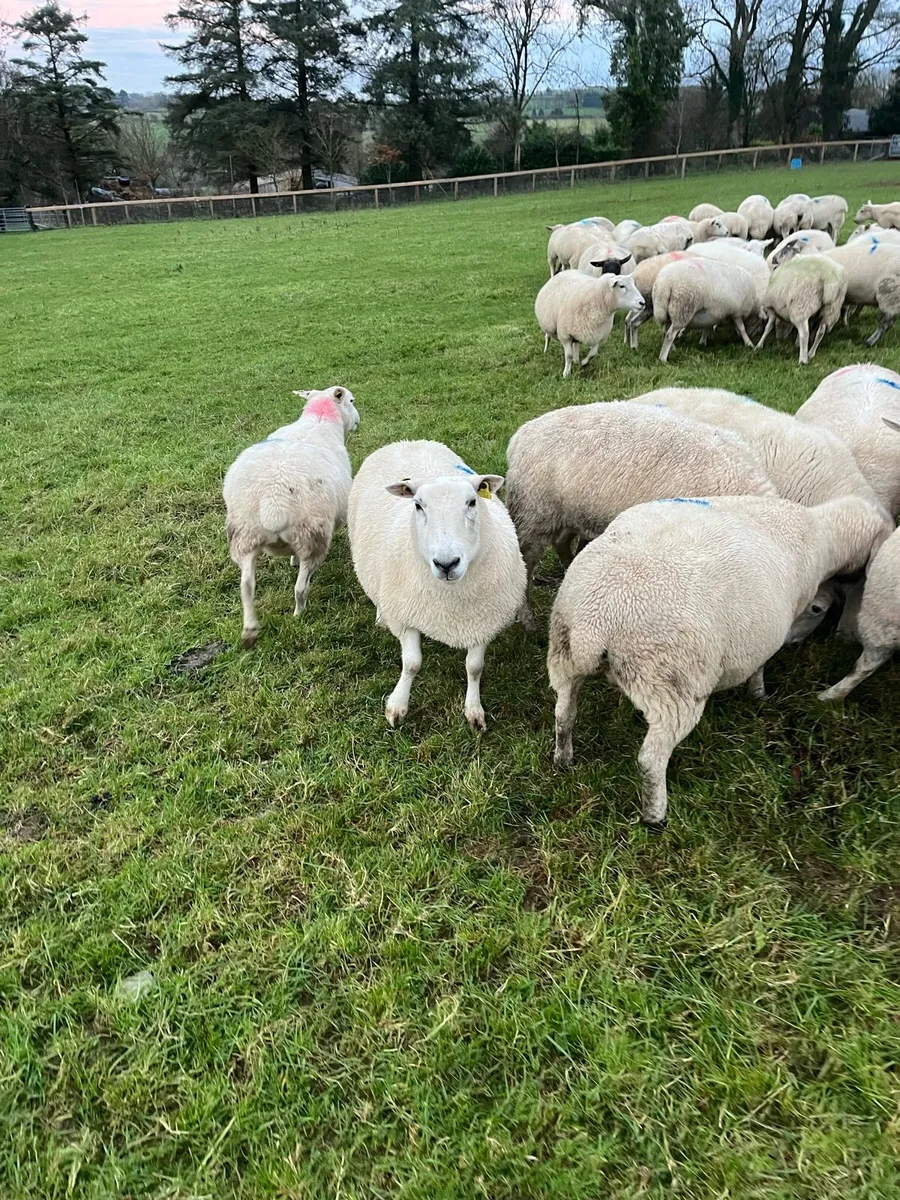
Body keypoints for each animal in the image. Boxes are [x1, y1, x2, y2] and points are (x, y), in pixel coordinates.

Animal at [223, 386, 360, 647]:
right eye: (351, 400)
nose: (358, 422)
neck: (318, 420)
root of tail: (273, 502)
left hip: (244, 535)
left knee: (246, 585)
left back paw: (250, 630)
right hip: (312, 536)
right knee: (300, 587)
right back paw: (299, 614)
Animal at [347, 441, 525, 729]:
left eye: (472, 501)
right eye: (418, 505)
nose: (446, 564)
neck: (450, 602)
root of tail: (407, 441)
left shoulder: (484, 621)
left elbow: (474, 667)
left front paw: (474, 710)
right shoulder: (406, 614)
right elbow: (412, 664)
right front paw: (397, 705)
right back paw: (381, 617)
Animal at [505, 401, 776, 628]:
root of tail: (520, 435)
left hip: (568, 513)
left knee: (561, 542)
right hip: (533, 514)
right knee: (526, 565)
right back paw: (528, 620)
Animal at [547, 493, 890, 828]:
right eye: (818, 608)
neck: (822, 531)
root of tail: (597, 622)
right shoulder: (781, 619)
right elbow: (762, 662)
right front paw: (759, 693)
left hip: (564, 655)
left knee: (564, 714)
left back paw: (563, 760)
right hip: (671, 682)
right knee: (650, 759)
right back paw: (655, 815)